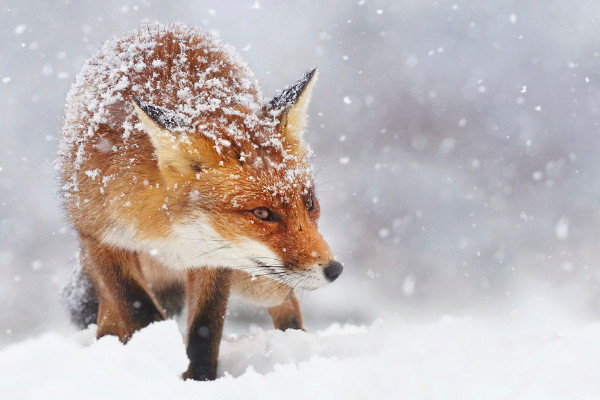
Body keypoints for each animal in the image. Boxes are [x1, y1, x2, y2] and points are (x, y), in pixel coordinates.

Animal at [59, 22, 346, 382]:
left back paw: (293, 346)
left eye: (308, 203)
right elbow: (138, 311)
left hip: (259, 280)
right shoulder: (100, 238)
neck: (166, 234)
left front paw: (200, 379)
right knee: (109, 313)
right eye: (262, 212)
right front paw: (158, 360)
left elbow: (205, 329)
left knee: (288, 304)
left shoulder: (215, 261)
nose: (334, 269)